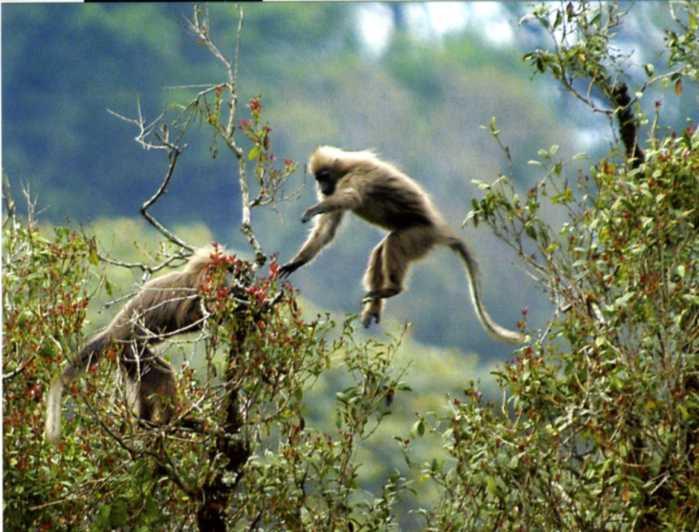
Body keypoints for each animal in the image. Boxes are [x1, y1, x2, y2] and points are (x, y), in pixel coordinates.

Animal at [43, 247, 245, 442]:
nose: (233, 279)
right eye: (226, 272)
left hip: (128, 358)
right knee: (163, 375)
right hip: (131, 352)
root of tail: (112, 334)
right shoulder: (195, 292)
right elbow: (190, 316)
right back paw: (173, 421)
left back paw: (145, 422)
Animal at [278, 147, 524, 344]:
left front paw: (313, 209)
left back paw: (392, 289)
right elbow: (326, 231)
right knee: (380, 250)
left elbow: (352, 197)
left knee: (394, 242)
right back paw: (375, 305)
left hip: (420, 235)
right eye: (317, 179)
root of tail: (440, 230)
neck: (347, 168)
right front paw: (296, 262)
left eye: (324, 177)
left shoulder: (356, 177)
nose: (322, 188)